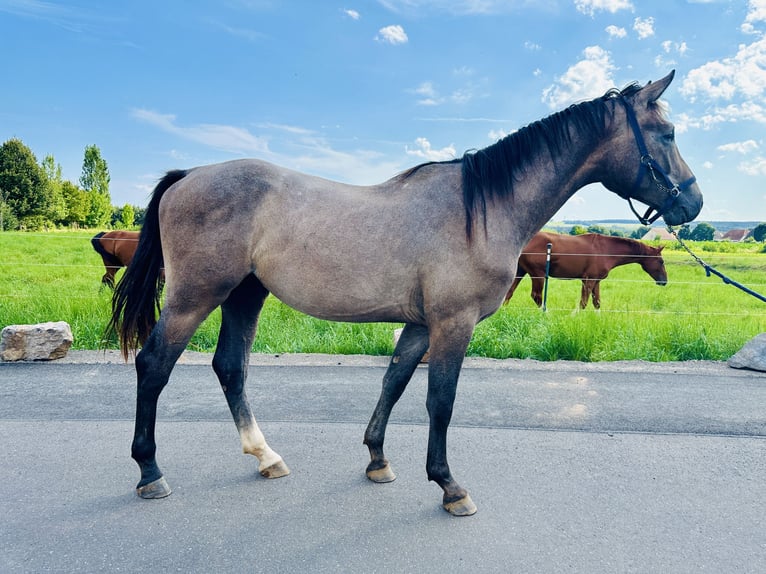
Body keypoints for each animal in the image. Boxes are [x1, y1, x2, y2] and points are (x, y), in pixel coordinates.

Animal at [510, 232, 664, 310]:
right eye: (661, 261)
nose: (664, 281)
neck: (606, 250)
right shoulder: (588, 280)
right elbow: (583, 303)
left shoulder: (596, 281)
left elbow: (597, 303)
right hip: (538, 275)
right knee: (536, 296)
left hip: (519, 272)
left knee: (509, 293)